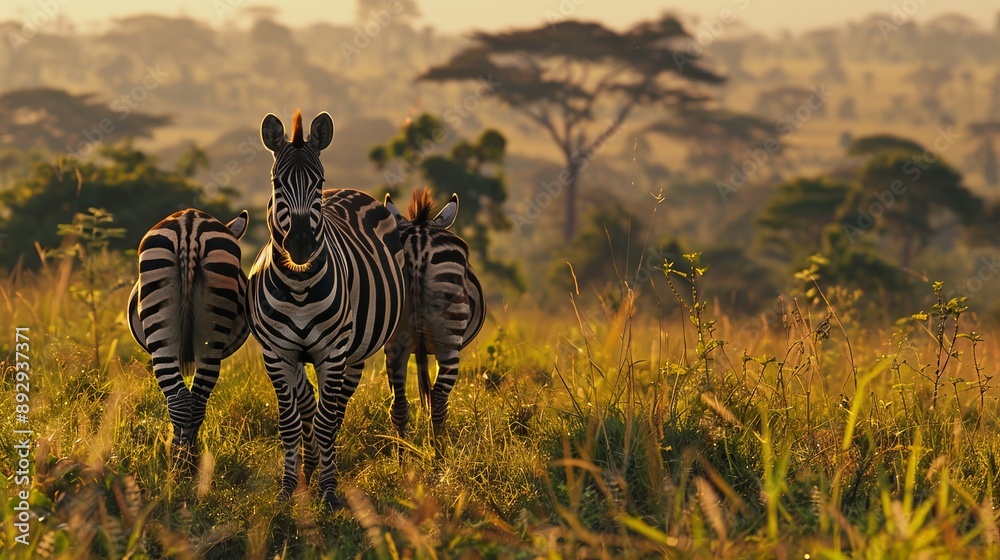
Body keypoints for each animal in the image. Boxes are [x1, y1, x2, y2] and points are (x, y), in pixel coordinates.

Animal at [127, 208, 250, 468]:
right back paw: (186, 461)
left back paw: (181, 461)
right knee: (194, 401)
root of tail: (189, 222)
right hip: (209, 336)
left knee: (183, 400)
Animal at [247, 110, 405, 508]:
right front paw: (289, 487)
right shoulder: (276, 354)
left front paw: (329, 491)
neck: (299, 288)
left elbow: (324, 421)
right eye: (276, 183)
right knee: (308, 405)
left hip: (357, 353)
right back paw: (308, 466)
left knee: (332, 413)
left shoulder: (333, 353)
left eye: (317, 182)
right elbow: (291, 423)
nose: (301, 243)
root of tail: (349, 191)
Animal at [383, 188, 486, 442]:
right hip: (448, 342)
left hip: (395, 341)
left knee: (399, 406)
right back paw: (439, 451)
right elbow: (431, 396)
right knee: (439, 402)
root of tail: (417, 244)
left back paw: (403, 453)